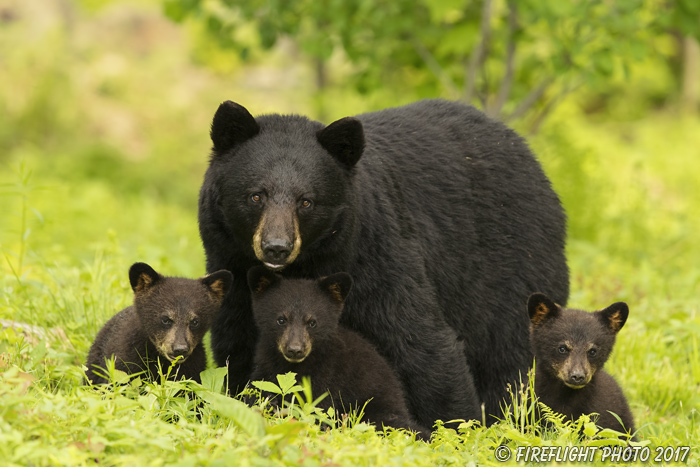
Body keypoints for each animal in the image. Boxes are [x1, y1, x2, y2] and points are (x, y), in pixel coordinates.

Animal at [249, 266, 430, 442]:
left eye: (313, 322)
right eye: (281, 319)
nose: (295, 350)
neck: (295, 366)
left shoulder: (329, 377)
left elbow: (318, 408)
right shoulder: (266, 368)